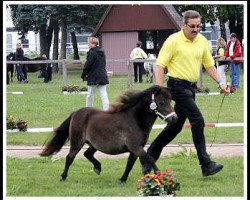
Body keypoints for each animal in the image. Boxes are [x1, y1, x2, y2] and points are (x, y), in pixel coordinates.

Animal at [40, 85, 178, 182]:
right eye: (161, 102)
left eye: (170, 100)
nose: (174, 118)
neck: (135, 120)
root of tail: (75, 113)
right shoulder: (136, 147)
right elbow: (150, 158)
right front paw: (160, 175)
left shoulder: (136, 149)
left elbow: (130, 164)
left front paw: (122, 179)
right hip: (77, 142)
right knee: (70, 158)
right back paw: (63, 176)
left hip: (94, 144)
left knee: (87, 153)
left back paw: (98, 167)